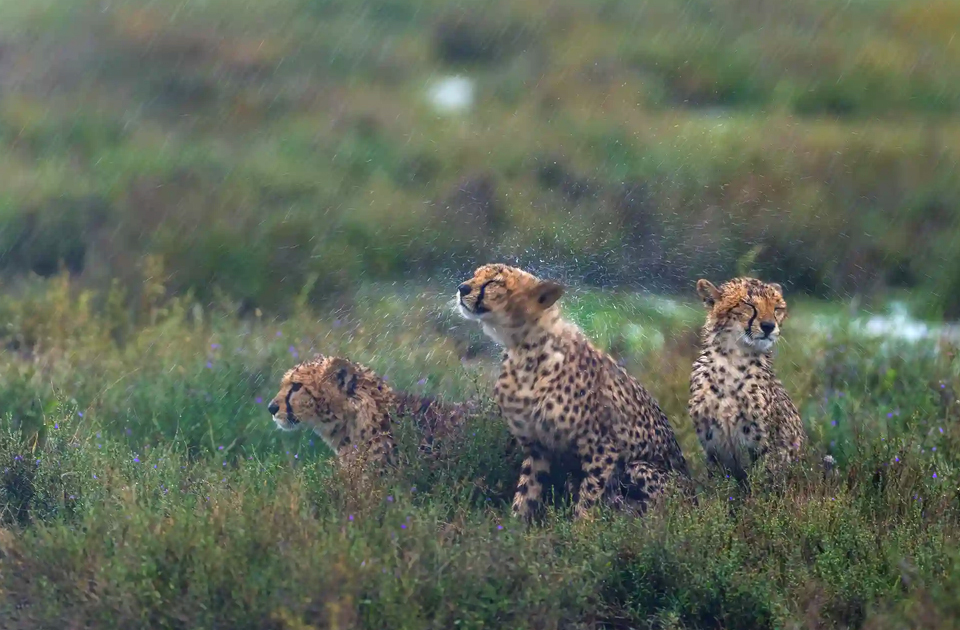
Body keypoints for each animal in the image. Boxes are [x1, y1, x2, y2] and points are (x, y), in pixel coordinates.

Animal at [454, 264, 688, 520]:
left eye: (494, 282)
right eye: (475, 275)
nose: (462, 287)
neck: (524, 349)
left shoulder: (602, 450)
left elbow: (588, 501)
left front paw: (581, 528)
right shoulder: (538, 448)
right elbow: (526, 493)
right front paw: (514, 526)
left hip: (639, 468)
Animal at [688, 278, 808, 484]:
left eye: (777, 308)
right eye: (749, 305)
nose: (768, 326)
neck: (732, 360)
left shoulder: (767, 449)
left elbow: (764, 486)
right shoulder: (712, 449)